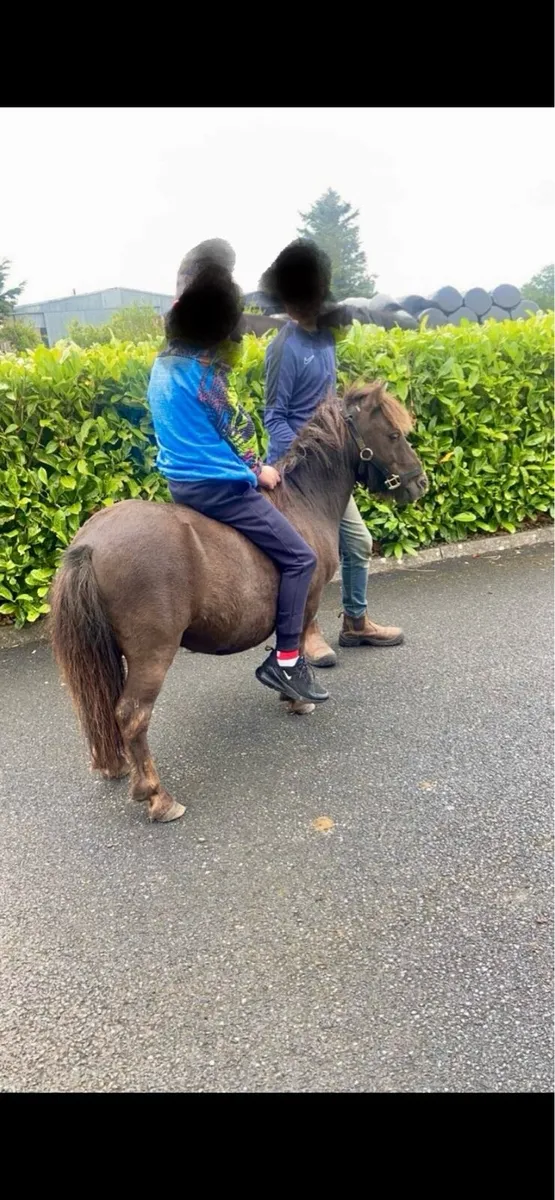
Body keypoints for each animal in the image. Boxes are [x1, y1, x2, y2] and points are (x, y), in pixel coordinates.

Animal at [50, 382, 427, 825]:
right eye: (393, 434)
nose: (420, 483)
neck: (302, 500)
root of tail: (90, 544)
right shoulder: (306, 599)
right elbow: (295, 645)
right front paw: (297, 695)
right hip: (152, 653)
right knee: (132, 714)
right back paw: (157, 796)